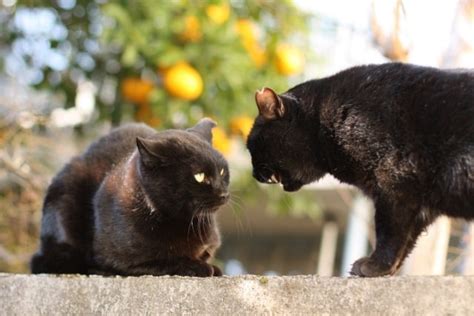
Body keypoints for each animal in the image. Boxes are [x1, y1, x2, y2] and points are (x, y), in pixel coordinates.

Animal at [32, 118, 230, 276]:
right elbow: (167, 261)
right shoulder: (124, 260)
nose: (224, 194)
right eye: (200, 176)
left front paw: (211, 266)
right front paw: (201, 267)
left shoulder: (210, 245)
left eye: (222, 171)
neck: (183, 222)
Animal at [248, 63, 474, 278]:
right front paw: (387, 270)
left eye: (252, 147)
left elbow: (389, 233)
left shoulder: (393, 184)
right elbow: (406, 241)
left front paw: (375, 267)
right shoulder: (419, 205)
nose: (255, 174)